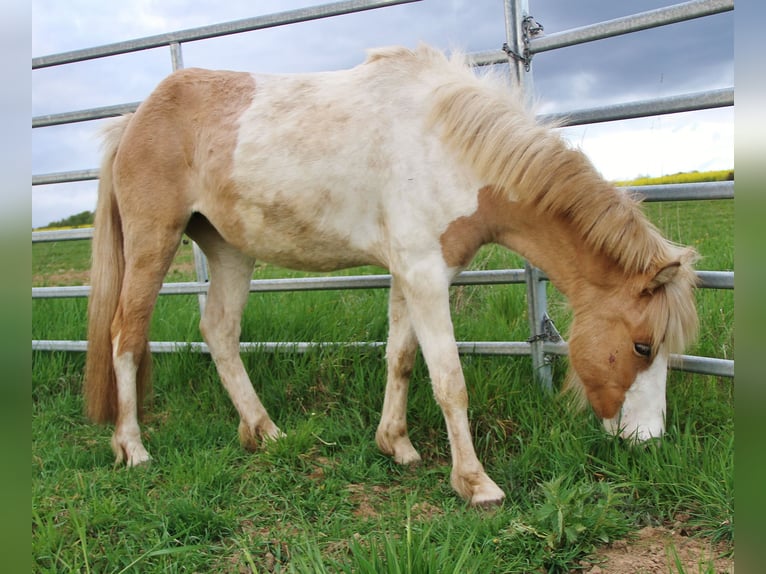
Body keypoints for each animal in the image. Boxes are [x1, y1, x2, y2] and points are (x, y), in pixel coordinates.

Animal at [84, 44, 698, 507]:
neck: (447, 148)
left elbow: (401, 358)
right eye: (642, 346)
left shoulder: (410, 274)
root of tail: (134, 119)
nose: (649, 441)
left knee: (220, 333)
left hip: (230, 250)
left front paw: (395, 445)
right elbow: (450, 380)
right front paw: (475, 484)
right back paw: (133, 449)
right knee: (125, 336)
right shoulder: (426, 276)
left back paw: (265, 432)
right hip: (153, 240)